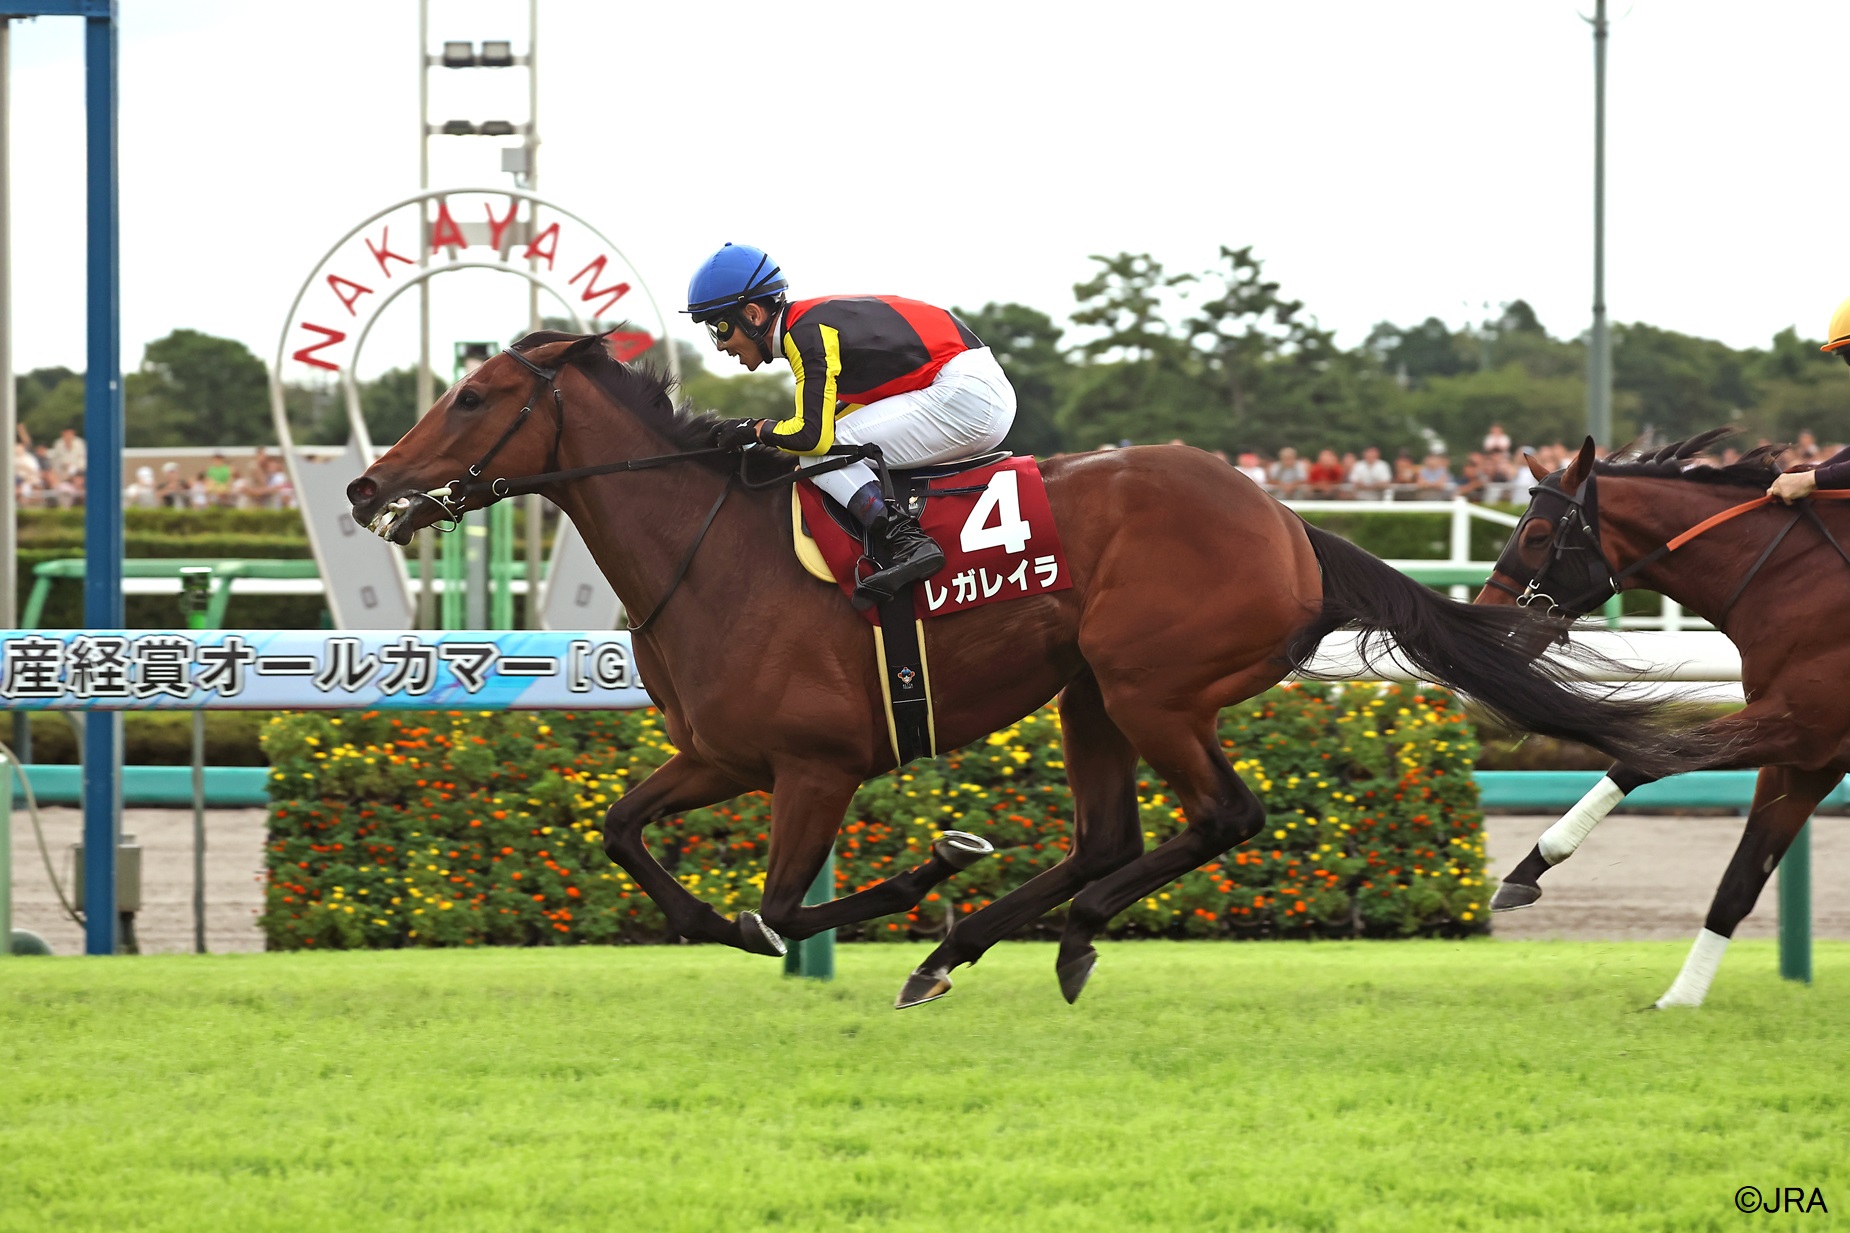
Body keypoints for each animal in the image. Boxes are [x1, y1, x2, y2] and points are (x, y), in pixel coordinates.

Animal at [346, 331, 1722, 1008]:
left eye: (474, 398)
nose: (366, 488)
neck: (710, 549)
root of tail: (1286, 523)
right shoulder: (719, 754)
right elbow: (631, 843)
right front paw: (903, 898)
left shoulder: (815, 764)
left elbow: (780, 907)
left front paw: (924, 874)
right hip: (1088, 693)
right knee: (1110, 834)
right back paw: (973, 950)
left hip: (1149, 684)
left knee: (1220, 816)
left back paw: (1045, 936)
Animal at [1477, 429, 1847, 1007]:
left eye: (1536, 535)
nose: (1483, 623)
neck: (1798, 580)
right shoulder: (1808, 759)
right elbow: (1741, 880)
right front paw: (1681, 999)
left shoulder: (1799, 723)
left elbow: (1644, 759)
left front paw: (1533, 863)